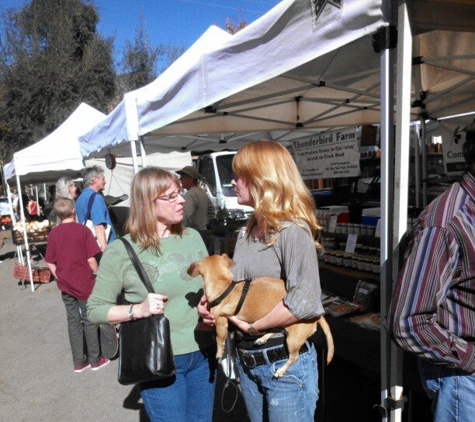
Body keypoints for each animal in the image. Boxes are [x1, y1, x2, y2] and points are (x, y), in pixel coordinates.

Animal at [188, 252, 336, 378]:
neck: (225, 286)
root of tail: (318, 314)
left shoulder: (221, 322)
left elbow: (219, 340)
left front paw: (218, 354)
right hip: (279, 323)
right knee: (274, 329)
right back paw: (262, 339)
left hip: (293, 339)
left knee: (294, 357)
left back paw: (281, 371)